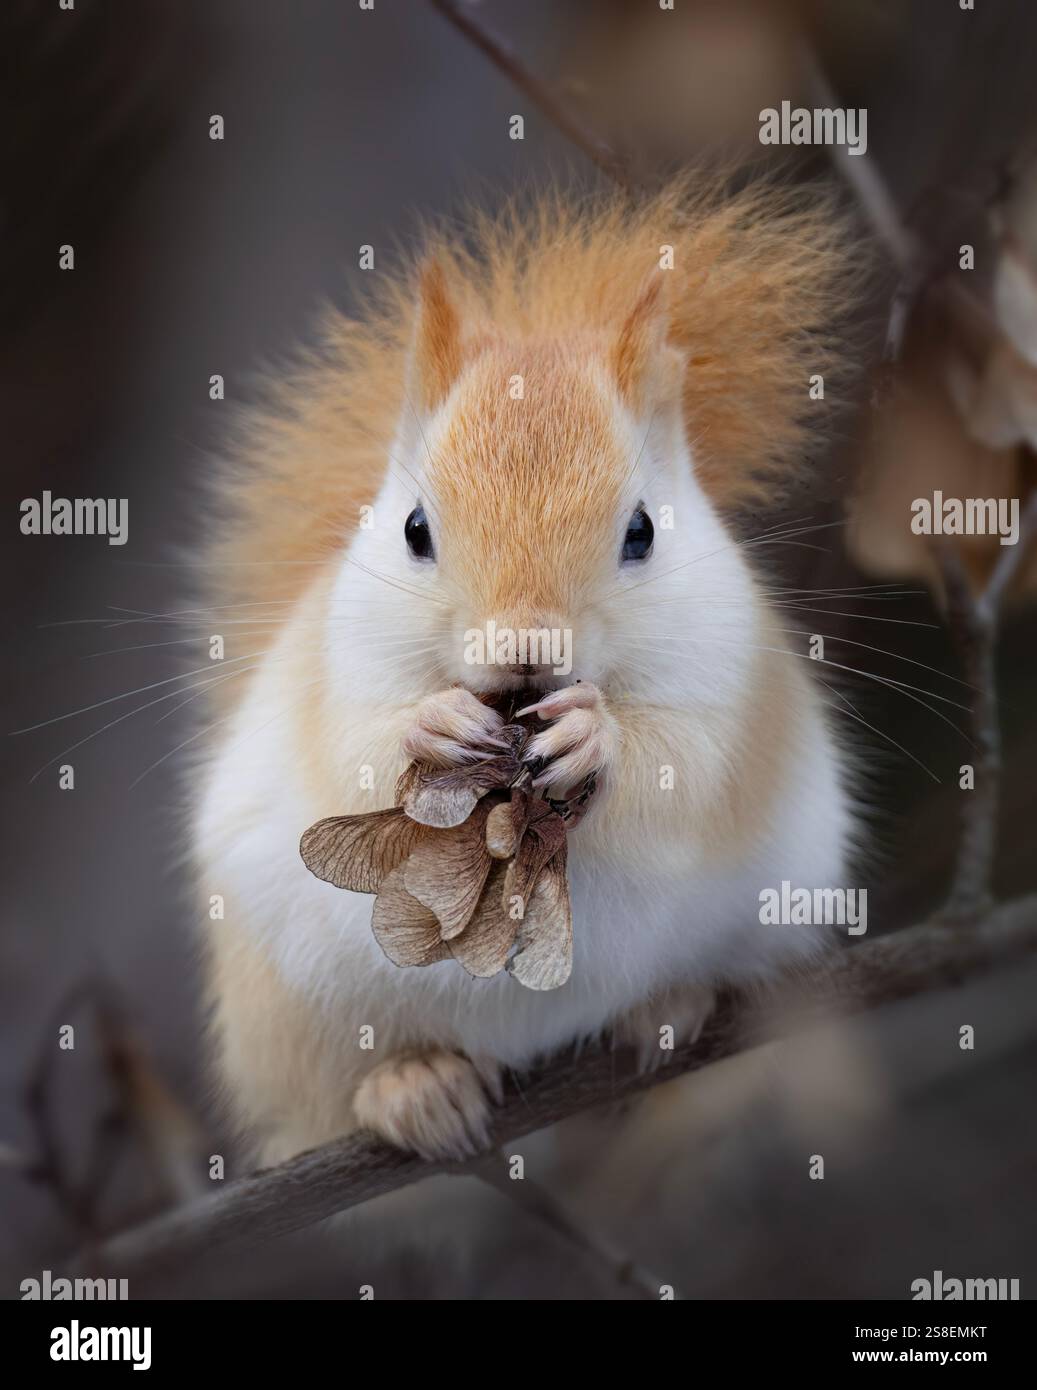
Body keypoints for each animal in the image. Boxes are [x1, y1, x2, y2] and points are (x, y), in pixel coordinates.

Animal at [194, 175, 859, 1165]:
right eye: (414, 529)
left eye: (642, 531)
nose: (525, 647)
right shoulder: (338, 669)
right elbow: (353, 750)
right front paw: (429, 727)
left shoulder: (727, 682)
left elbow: (686, 771)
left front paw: (596, 736)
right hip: (289, 1007)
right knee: (334, 1087)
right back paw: (412, 1088)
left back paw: (669, 1008)